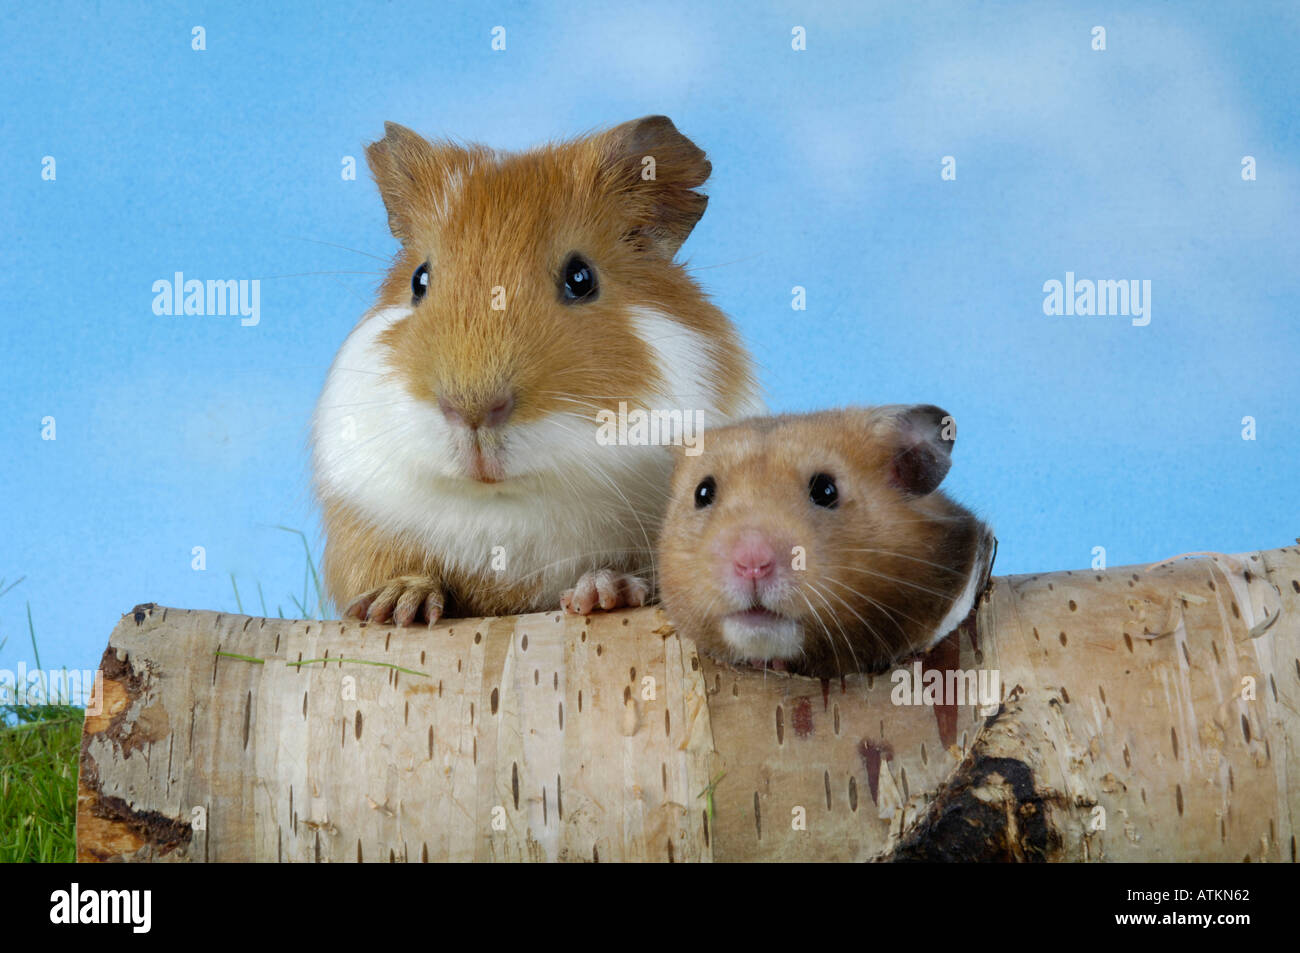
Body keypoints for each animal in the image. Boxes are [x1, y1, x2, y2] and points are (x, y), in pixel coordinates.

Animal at [312, 116, 761, 625]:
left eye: (581, 278)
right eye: (419, 280)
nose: (472, 410)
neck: (505, 501)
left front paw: (601, 593)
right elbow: (400, 572)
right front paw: (395, 607)